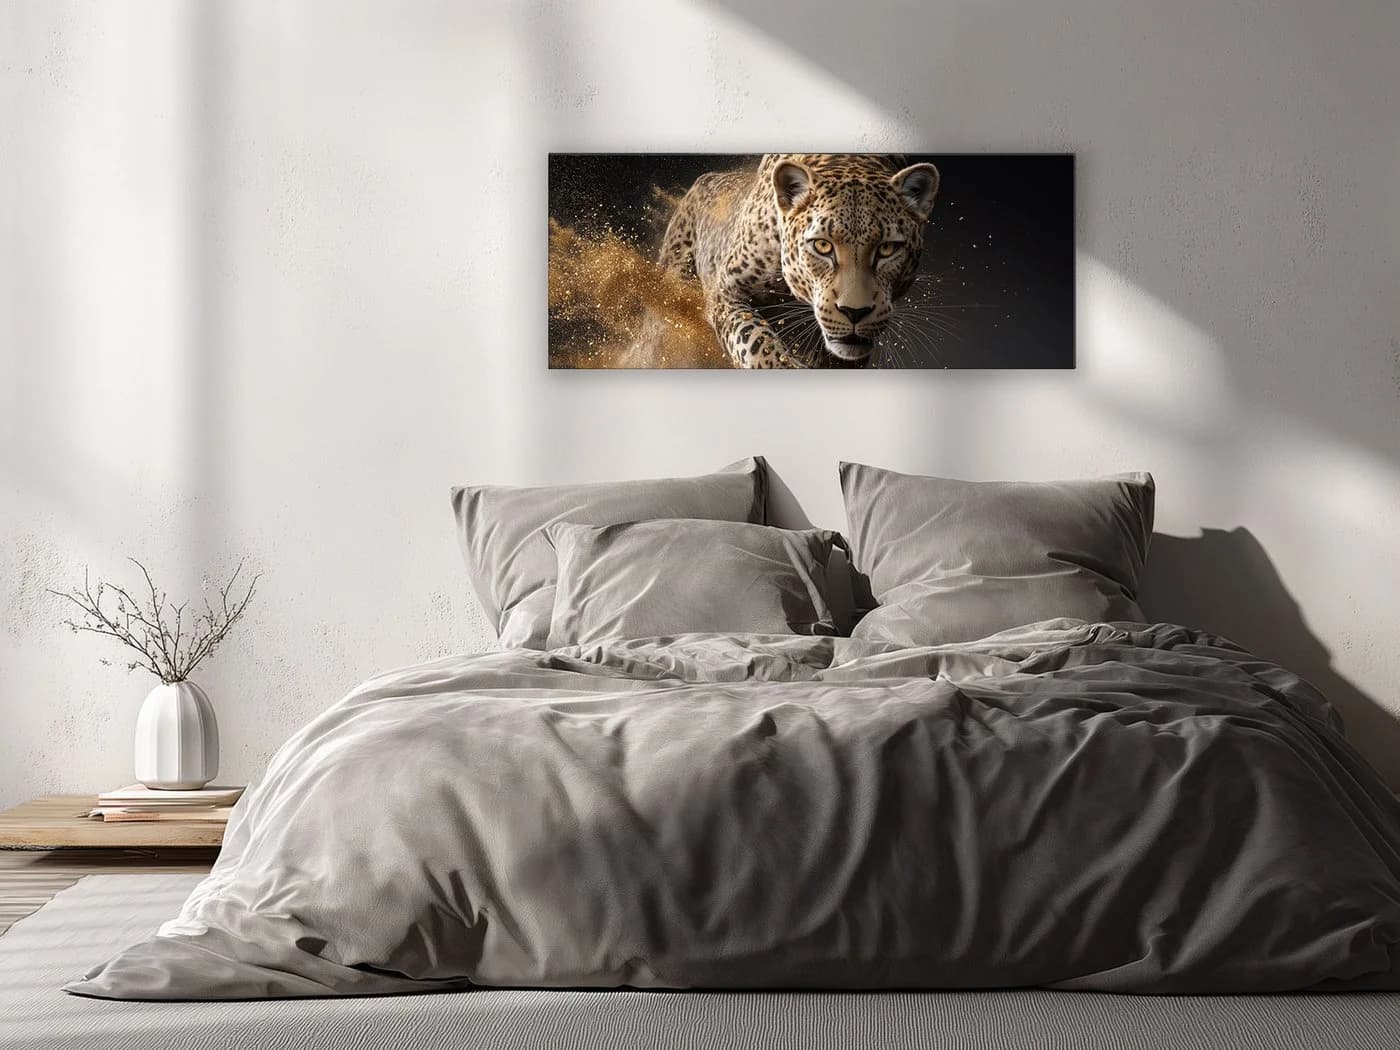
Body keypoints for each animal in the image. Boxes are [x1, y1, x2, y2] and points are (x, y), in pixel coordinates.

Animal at [657, 154, 940, 368]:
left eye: (887, 249)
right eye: (822, 245)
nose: (854, 312)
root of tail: (707, 177)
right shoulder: (726, 291)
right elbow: (754, 340)